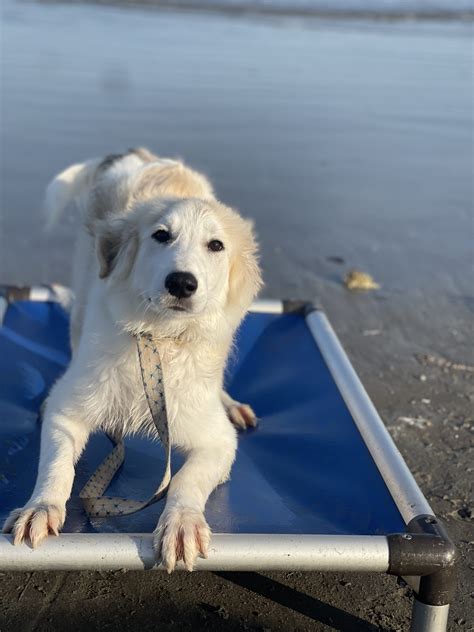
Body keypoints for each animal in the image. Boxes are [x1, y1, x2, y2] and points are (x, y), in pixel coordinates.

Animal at [1, 149, 262, 572]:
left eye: (216, 245)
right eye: (161, 235)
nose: (182, 283)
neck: (157, 339)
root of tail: (137, 155)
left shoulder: (219, 442)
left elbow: (186, 480)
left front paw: (182, 523)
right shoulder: (67, 410)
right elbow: (56, 464)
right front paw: (40, 507)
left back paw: (231, 402)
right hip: (82, 286)